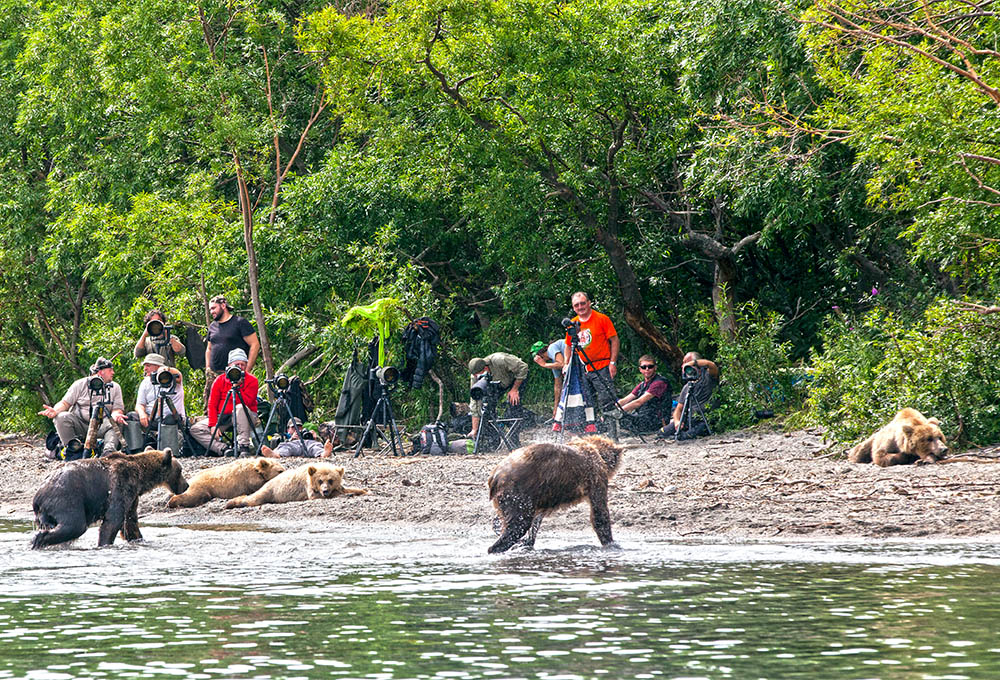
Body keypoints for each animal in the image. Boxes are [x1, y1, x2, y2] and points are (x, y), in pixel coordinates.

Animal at [31, 448, 188, 548]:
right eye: (180, 471)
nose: (186, 485)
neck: (141, 477)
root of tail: (38, 496)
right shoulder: (121, 484)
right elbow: (113, 520)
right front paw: (104, 543)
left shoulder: (132, 497)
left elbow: (130, 523)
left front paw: (139, 539)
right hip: (66, 498)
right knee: (75, 524)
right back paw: (38, 540)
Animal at [225, 460, 370, 508]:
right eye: (320, 480)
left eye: (331, 480)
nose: (325, 491)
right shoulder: (308, 486)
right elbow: (315, 496)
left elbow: (347, 488)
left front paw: (364, 490)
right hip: (271, 490)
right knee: (254, 498)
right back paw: (231, 503)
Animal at [486, 436, 620, 552]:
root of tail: (495, 475)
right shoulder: (595, 477)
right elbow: (599, 512)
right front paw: (611, 543)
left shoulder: (541, 497)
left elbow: (537, 520)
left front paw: (528, 541)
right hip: (517, 492)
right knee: (518, 524)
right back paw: (496, 548)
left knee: (506, 520)